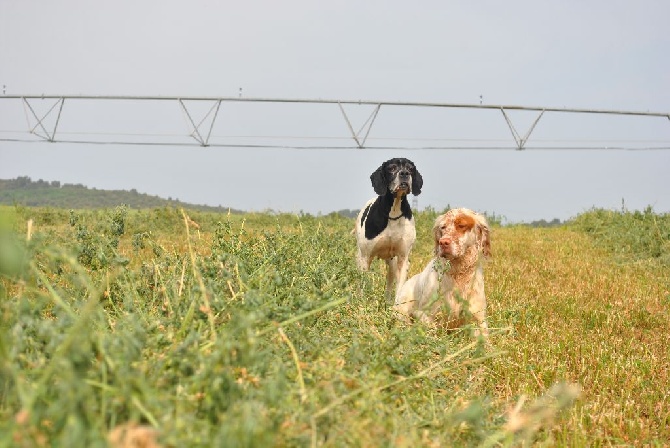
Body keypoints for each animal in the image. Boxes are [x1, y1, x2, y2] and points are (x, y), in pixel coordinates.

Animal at [354, 158, 422, 300]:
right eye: (391, 168)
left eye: (410, 168)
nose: (404, 173)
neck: (394, 212)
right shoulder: (366, 257)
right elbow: (363, 283)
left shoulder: (403, 258)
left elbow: (399, 288)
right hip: (361, 256)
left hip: (393, 262)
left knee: (390, 281)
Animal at [394, 208, 494, 338]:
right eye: (443, 227)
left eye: (461, 225)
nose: (443, 242)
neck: (457, 274)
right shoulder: (427, 315)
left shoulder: (478, 318)